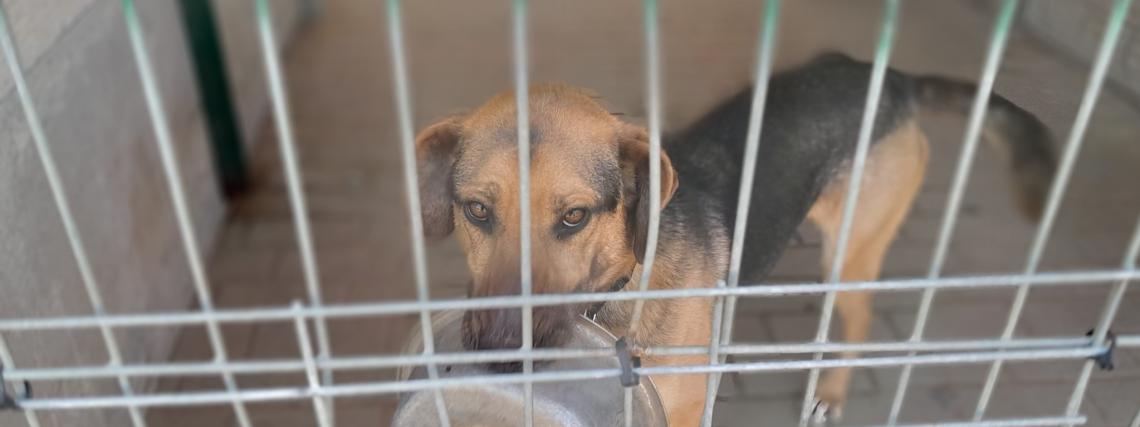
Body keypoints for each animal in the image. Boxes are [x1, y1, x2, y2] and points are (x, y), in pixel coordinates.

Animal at [412, 52, 1055, 426]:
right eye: (476, 210)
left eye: (573, 216)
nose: (498, 352)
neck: (619, 286)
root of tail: (893, 79)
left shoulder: (681, 406)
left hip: (850, 252)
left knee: (859, 317)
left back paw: (833, 391)